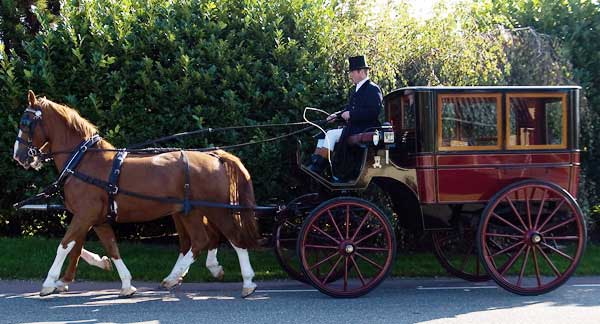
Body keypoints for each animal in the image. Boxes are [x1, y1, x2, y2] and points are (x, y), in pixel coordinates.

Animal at [12, 90, 258, 298]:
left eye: (25, 123)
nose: (18, 156)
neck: (84, 161)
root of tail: (216, 156)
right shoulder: (97, 219)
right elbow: (111, 248)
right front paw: (126, 284)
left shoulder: (84, 215)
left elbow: (64, 245)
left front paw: (49, 283)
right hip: (189, 212)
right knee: (201, 240)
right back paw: (177, 276)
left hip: (216, 210)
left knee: (231, 239)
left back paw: (246, 282)